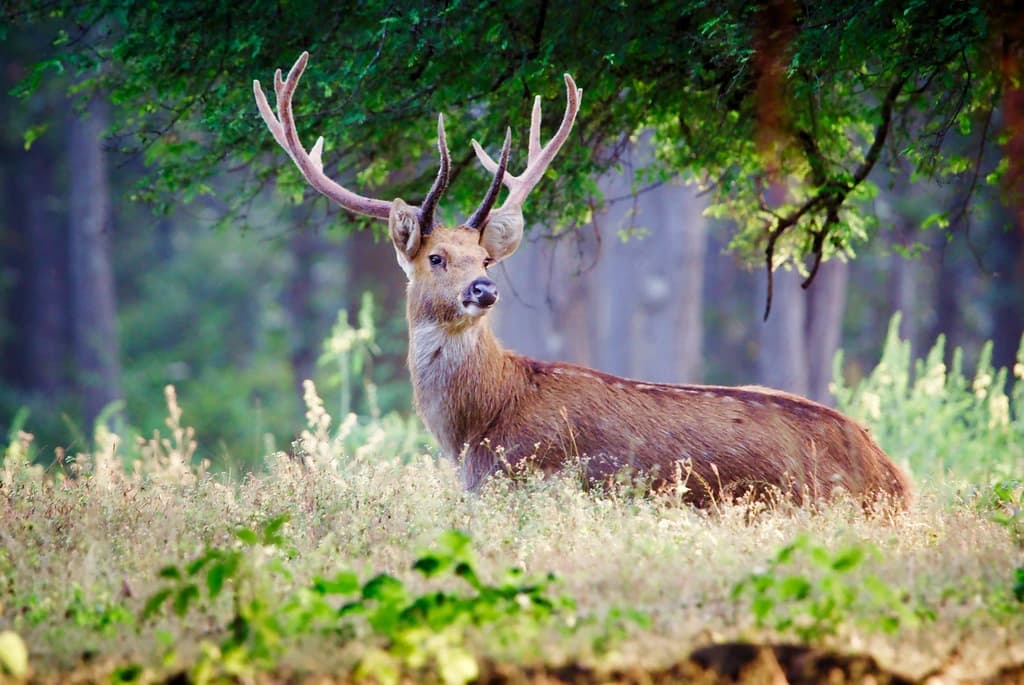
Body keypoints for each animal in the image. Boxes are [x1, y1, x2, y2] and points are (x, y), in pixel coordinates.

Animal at [254, 53, 913, 508]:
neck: (477, 430)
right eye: (437, 257)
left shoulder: (527, 482)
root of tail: (894, 477)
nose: (483, 291)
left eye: (485, 259)